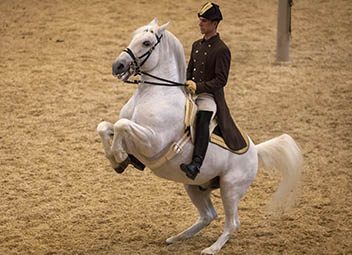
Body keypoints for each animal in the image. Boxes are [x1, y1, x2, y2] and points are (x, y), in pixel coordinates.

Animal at [96, 17, 302, 255]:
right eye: (133, 36)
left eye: (146, 42)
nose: (118, 66)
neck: (154, 93)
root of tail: (254, 152)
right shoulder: (133, 134)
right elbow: (105, 127)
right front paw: (118, 160)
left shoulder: (153, 141)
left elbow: (122, 126)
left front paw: (120, 157)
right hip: (195, 186)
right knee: (208, 215)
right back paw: (177, 238)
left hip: (230, 188)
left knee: (232, 223)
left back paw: (211, 248)